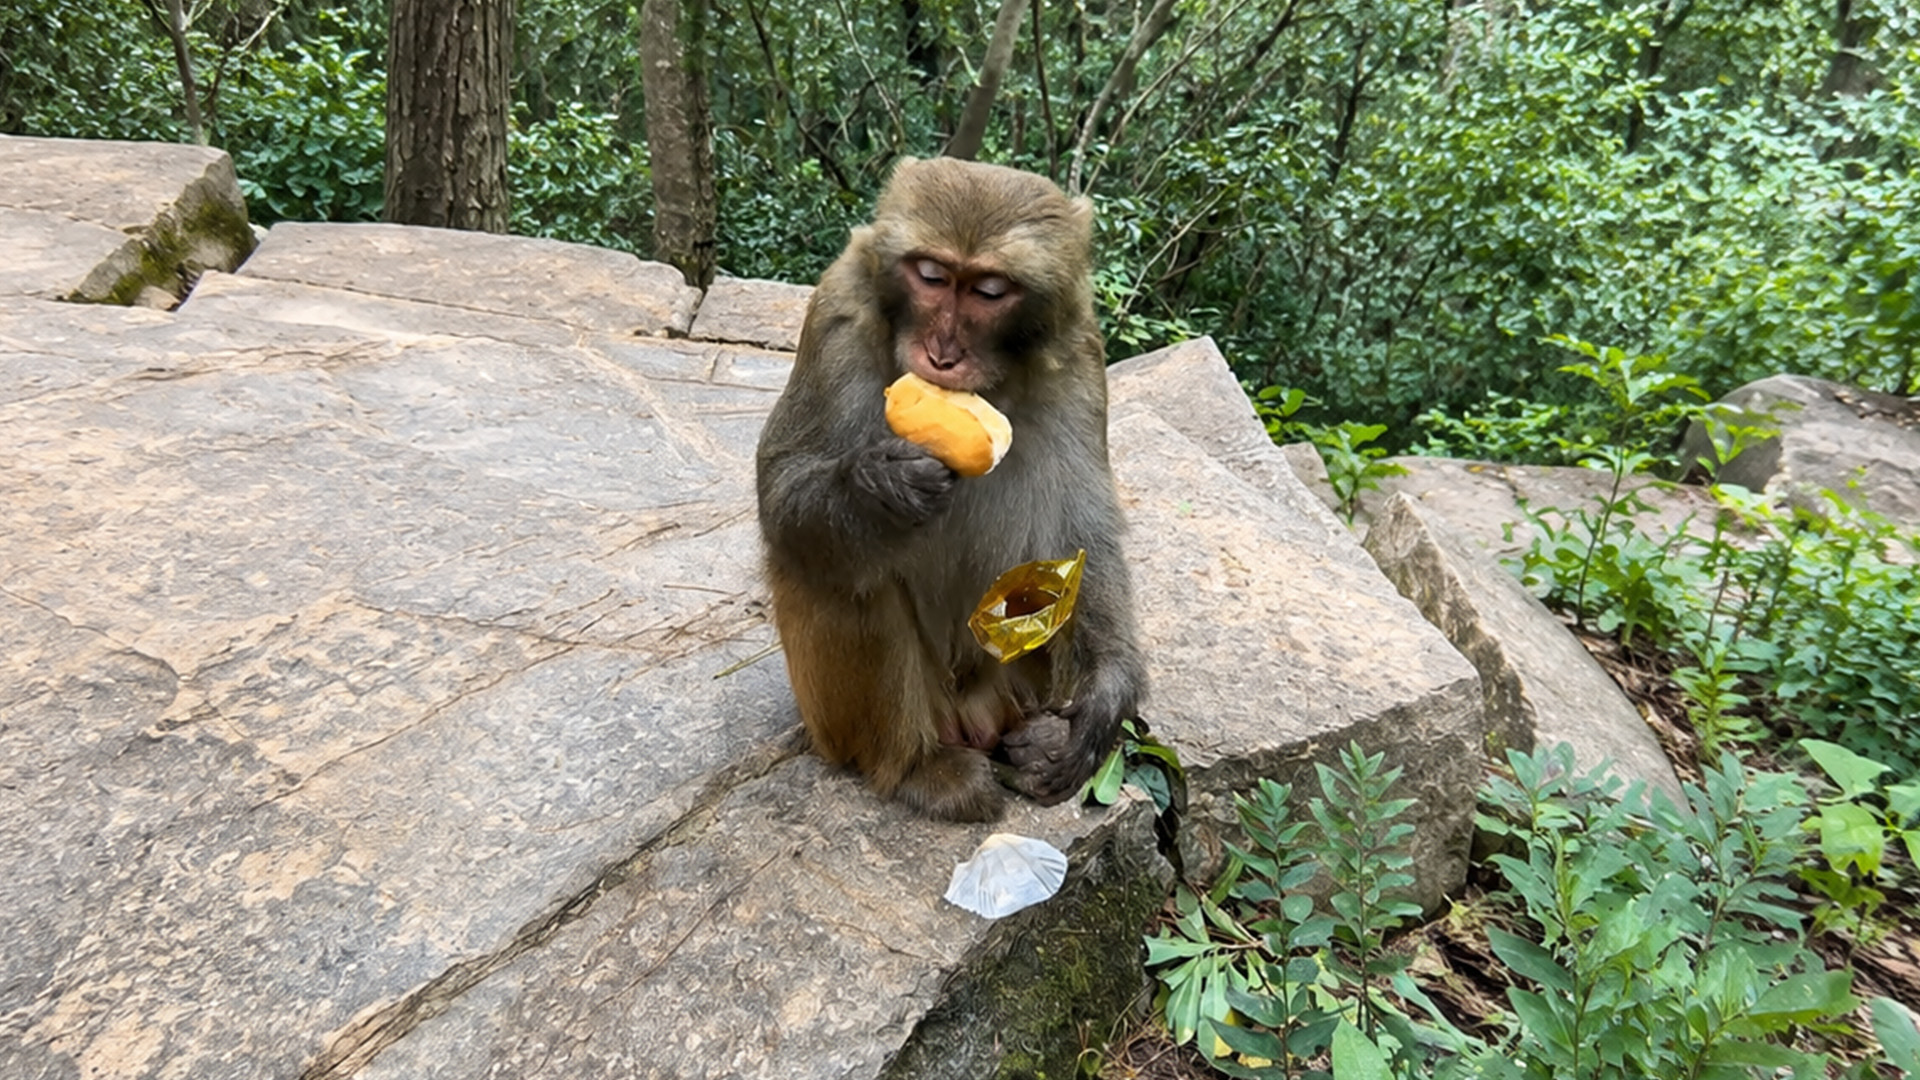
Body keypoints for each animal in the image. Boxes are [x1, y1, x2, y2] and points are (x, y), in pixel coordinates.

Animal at [755, 156, 1147, 822]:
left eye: (990, 291)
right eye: (932, 276)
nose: (942, 352)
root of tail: (972, 719)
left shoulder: (1080, 351)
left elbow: (1086, 529)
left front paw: (1108, 689)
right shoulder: (836, 313)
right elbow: (781, 489)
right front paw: (878, 490)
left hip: (1010, 687)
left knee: (1045, 584)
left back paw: (1040, 745)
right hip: (862, 722)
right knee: (837, 569)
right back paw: (918, 768)